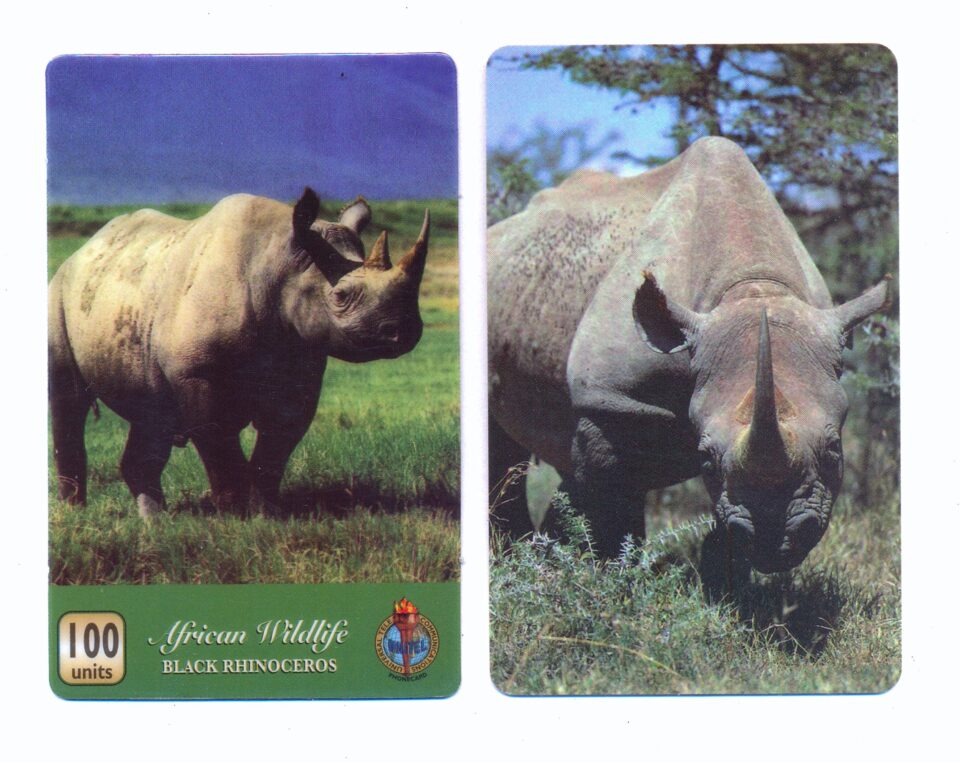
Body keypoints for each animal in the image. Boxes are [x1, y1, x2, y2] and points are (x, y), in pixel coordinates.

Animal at [49, 188, 429, 517]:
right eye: (341, 296)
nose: (405, 330)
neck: (280, 264)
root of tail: (82, 251)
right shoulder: (198, 372)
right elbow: (220, 445)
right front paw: (235, 518)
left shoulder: (298, 368)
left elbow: (276, 445)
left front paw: (267, 514)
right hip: (60, 291)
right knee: (70, 401)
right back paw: (76, 514)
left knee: (152, 411)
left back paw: (154, 522)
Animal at [488, 137, 890, 581]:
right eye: (706, 460)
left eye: (835, 448)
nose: (775, 540)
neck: (753, 287)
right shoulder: (607, 396)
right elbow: (608, 495)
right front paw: (607, 576)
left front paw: (731, 588)